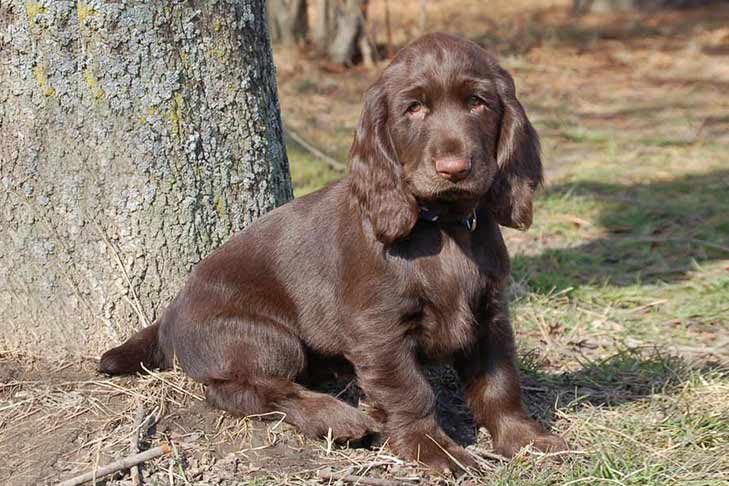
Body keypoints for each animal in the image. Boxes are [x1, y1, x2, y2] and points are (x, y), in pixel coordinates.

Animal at [101, 32, 568, 472]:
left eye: (477, 103)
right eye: (413, 109)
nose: (453, 169)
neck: (445, 225)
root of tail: (170, 313)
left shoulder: (490, 312)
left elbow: (499, 382)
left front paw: (526, 438)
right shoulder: (380, 328)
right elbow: (411, 391)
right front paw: (434, 450)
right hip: (267, 338)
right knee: (238, 391)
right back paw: (335, 418)